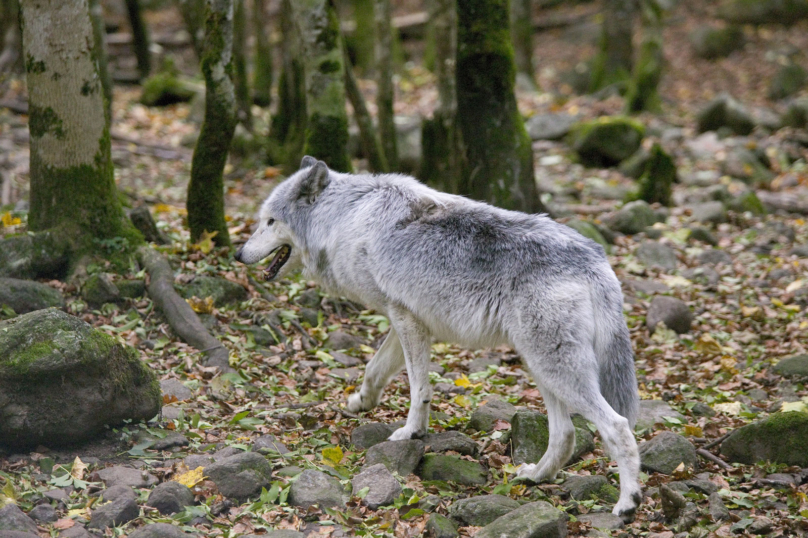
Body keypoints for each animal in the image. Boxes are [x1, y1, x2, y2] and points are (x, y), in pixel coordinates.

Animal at [235, 156, 644, 520]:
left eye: (270, 221)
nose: (238, 253)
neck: (343, 218)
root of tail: (595, 259)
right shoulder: (404, 318)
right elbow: (373, 369)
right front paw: (360, 402)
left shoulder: (407, 320)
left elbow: (419, 389)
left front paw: (411, 432)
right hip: (541, 366)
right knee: (565, 434)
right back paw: (535, 477)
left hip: (555, 368)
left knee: (617, 426)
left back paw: (627, 503)